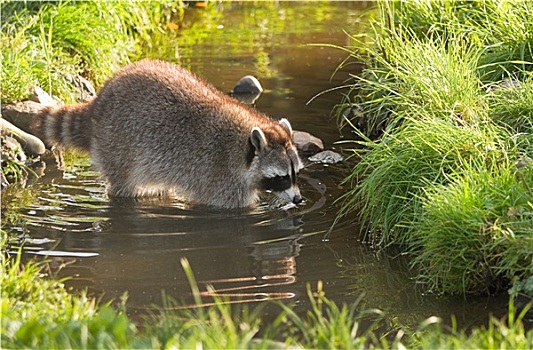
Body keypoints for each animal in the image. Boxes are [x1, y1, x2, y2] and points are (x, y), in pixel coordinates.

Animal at [31, 59, 302, 209]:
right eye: (281, 177)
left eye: (296, 173)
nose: (298, 200)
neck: (242, 148)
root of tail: (99, 102)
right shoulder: (222, 178)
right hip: (118, 145)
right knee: (122, 186)